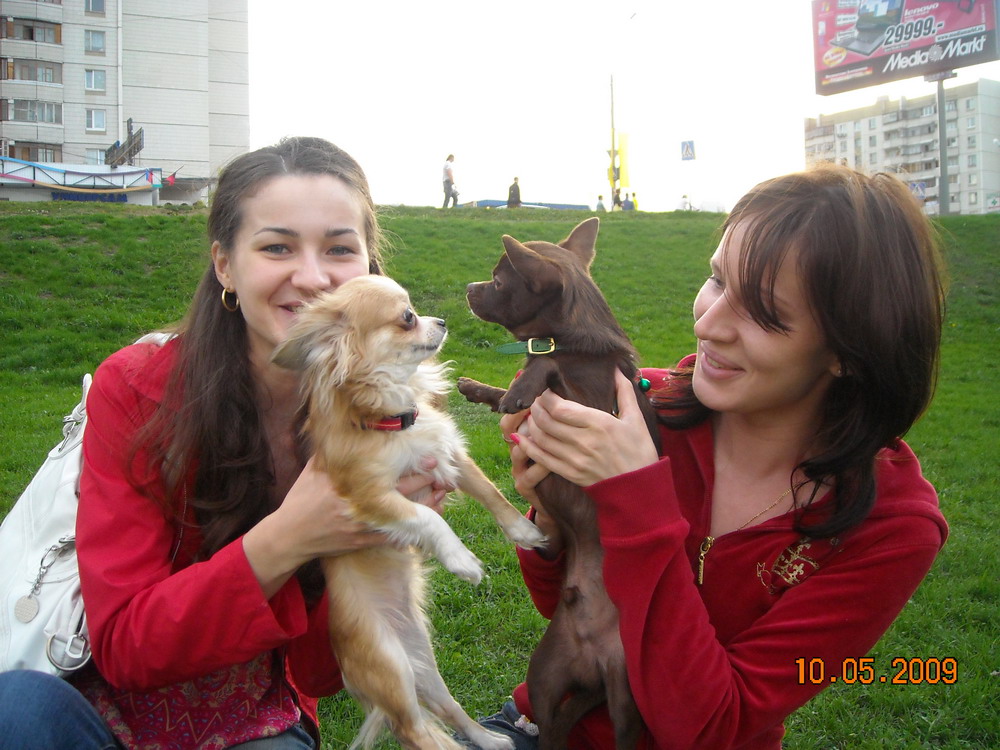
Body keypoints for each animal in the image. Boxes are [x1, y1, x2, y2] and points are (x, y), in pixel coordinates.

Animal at [272, 274, 545, 750]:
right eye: (406, 317)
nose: (442, 320)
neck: (395, 415)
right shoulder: (370, 495)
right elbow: (428, 519)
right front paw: (461, 560)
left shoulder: (448, 452)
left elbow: (491, 491)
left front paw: (522, 532)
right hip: (390, 668)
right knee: (415, 731)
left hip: (423, 660)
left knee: (449, 709)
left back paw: (490, 740)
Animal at [456, 218, 661, 750]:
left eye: (498, 281)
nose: (469, 287)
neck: (569, 340)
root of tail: (590, 663)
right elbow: (505, 390)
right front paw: (477, 388)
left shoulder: (595, 409)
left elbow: (545, 364)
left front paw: (524, 384)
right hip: (546, 674)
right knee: (550, 723)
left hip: (625, 697)